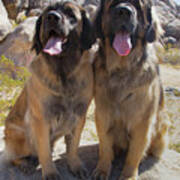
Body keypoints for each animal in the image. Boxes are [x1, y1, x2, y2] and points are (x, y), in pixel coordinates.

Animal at [2, 1, 95, 179]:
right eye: (47, 13)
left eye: (70, 14)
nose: (52, 17)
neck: (63, 73)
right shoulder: (41, 119)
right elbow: (43, 149)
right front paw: (50, 172)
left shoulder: (79, 115)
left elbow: (73, 145)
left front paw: (75, 165)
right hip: (21, 136)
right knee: (13, 156)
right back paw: (25, 163)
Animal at [93, 0, 169, 180]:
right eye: (112, 5)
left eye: (137, 6)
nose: (123, 11)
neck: (122, 69)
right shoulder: (103, 113)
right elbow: (105, 146)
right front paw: (102, 169)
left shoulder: (142, 121)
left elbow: (134, 153)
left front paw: (128, 175)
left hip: (162, 121)